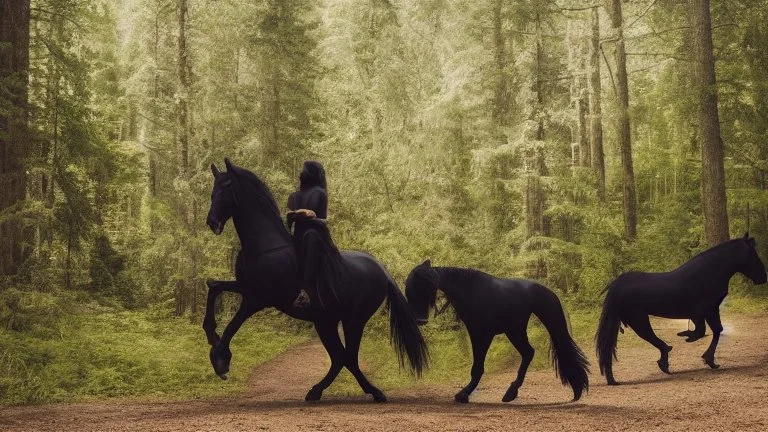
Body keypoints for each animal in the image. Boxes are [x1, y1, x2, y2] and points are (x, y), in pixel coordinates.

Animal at [204, 159, 428, 402]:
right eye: (213, 191)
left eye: (226, 188)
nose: (212, 223)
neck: (265, 246)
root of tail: (383, 271)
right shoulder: (246, 288)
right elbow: (213, 286)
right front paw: (211, 335)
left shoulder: (257, 299)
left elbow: (232, 325)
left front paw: (220, 360)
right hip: (326, 321)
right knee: (341, 357)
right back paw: (319, 391)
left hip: (354, 320)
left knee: (348, 357)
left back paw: (373, 392)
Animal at [402, 260, 588, 404]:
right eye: (410, 288)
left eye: (428, 286)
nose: (420, 320)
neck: (471, 291)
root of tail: (544, 291)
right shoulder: (479, 334)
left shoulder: (482, 334)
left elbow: (477, 367)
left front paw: (463, 394)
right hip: (515, 331)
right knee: (528, 353)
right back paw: (511, 393)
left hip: (514, 331)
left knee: (528, 352)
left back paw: (511, 393)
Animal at [596, 233, 764, 384]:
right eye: (753, 254)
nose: (763, 277)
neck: (709, 272)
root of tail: (617, 284)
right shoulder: (706, 310)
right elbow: (709, 331)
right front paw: (702, 352)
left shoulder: (703, 312)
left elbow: (709, 330)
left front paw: (705, 354)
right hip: (637, 319)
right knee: (649, 339)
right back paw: (662, 362)